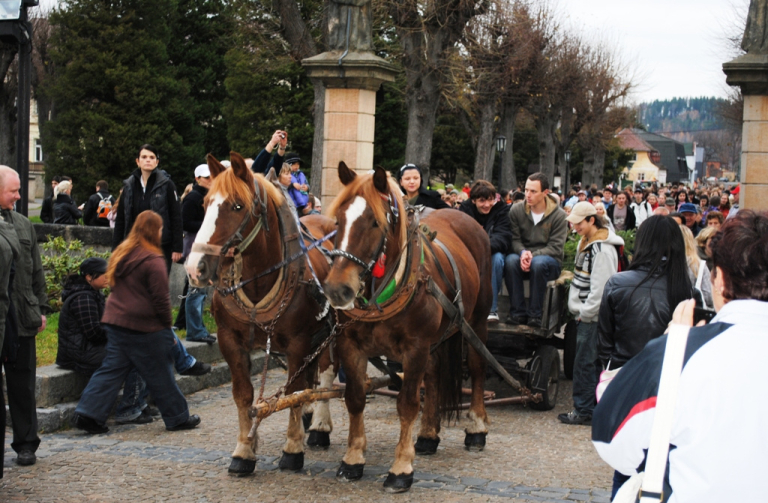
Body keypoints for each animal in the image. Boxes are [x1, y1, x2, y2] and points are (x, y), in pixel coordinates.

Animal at [184, 153, 338, 476]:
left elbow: (294, 390)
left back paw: (319, 425)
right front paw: (244, 449)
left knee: (326, 372)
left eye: (237, 206)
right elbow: (243, 394)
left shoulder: (298, 341)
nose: (195, 268)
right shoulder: (230, 340)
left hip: (333, 331)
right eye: (205, 204)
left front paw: (292, 449)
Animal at [322, 164, 492, 492]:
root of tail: (467, 218)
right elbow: (355, 398)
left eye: (374, 222)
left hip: (475, 322)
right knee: (435, 374)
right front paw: (353, 458)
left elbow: (408, 403)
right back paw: (427, 435)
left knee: (478, 368)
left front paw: (401, 467)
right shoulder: (350, 344)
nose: (337, 289)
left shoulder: (415, 347)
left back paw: (477, 427)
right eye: (338, 221)